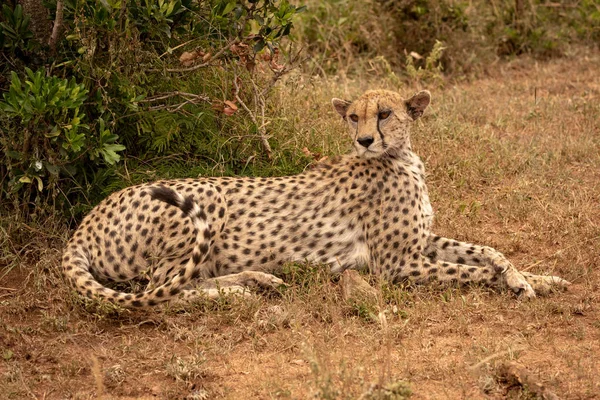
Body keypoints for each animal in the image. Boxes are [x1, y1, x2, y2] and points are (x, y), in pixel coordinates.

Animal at [62, 89, 572, 306]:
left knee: (176, 283)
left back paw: (258, 281)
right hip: (205, 197)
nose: (365, 139)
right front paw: (510, 283)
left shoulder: (421, 242)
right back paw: (239, 293)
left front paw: (538, 279)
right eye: (353, 117)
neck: (400, 157)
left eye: (384, 113)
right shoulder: (397, 265)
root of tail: (87, 220)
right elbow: (473, 271)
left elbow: (490, 251)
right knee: (159, 292)